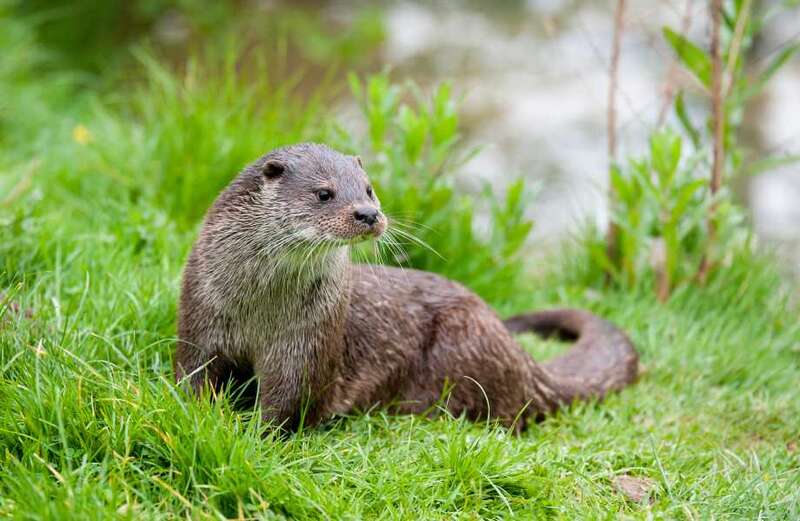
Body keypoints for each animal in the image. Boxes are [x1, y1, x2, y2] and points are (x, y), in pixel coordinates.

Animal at [175, 143, 636, 430]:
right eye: (324, 193)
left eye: (369, 189)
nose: (367, 213)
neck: (259, 308)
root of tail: (523, 360)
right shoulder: (201, 316)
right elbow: (192, 374)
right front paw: (195, 414)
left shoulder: (307, 343)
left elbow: (289, 402)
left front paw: (255, 434)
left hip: (464, 343)